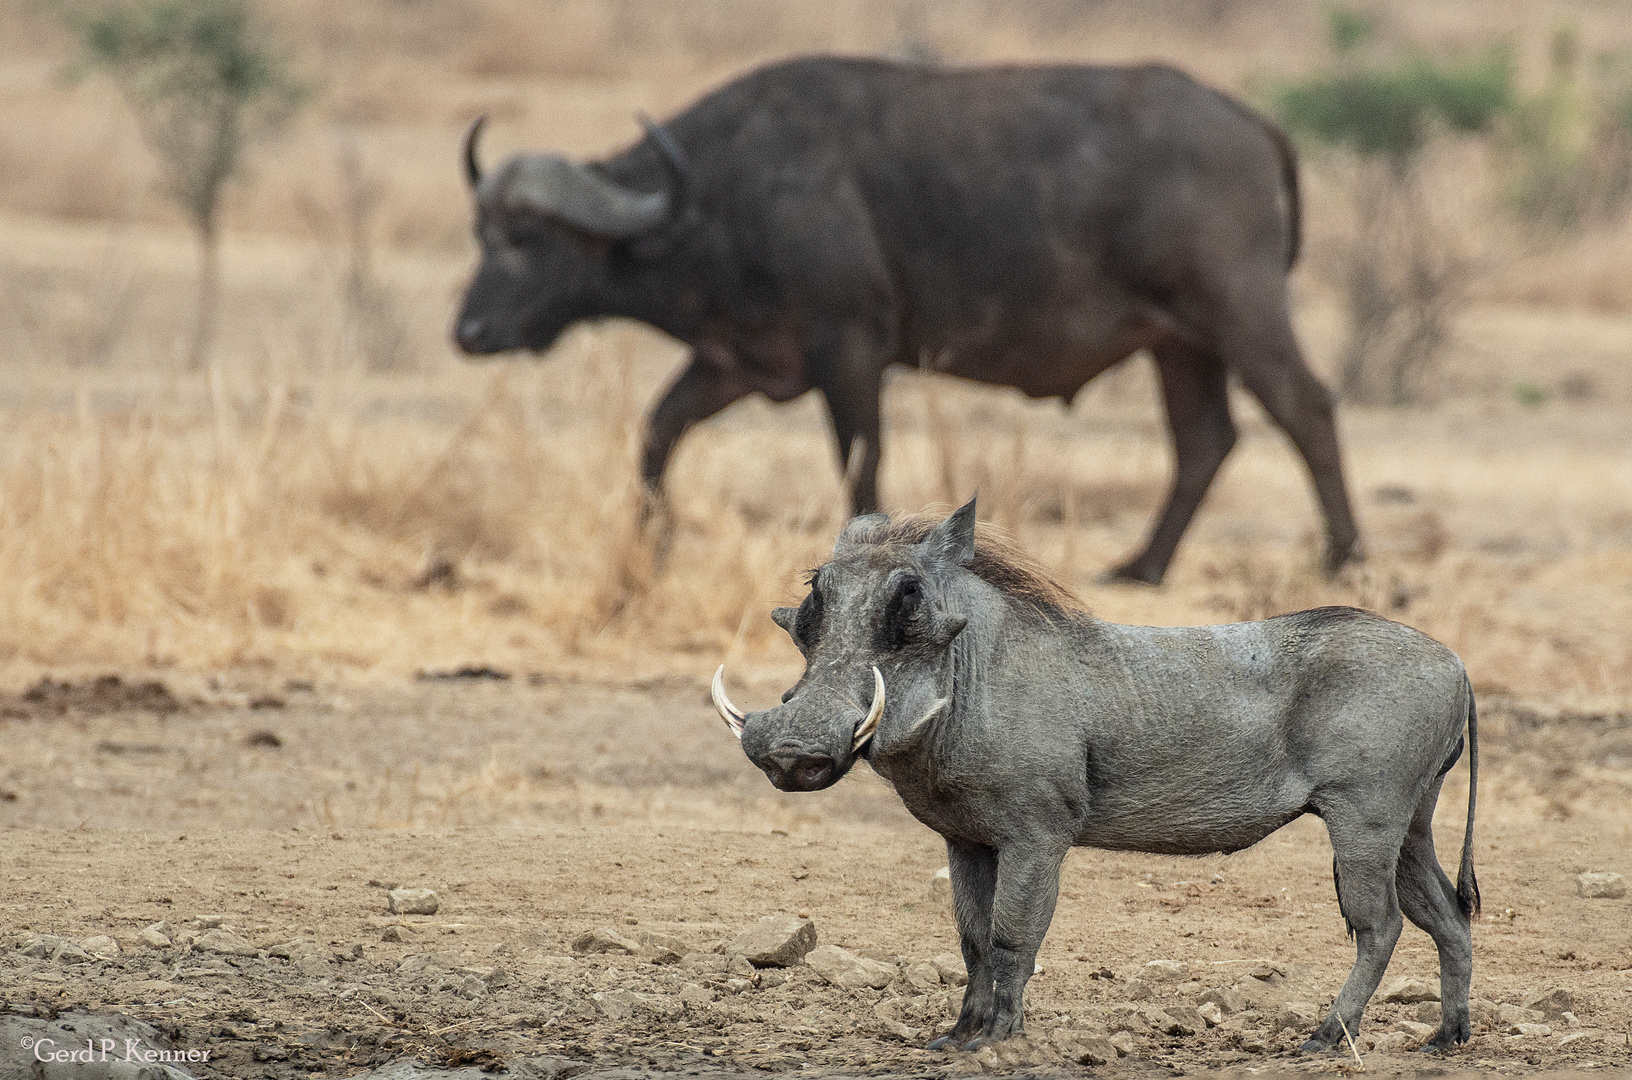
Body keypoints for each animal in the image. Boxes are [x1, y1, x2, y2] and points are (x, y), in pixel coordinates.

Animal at [453, 55, 1357, 584]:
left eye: (527, 240)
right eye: (480, 234)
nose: (467, 334)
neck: (720, 194)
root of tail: (1250, 122)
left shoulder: (849, 350)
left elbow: (862, 463)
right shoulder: (735, 360)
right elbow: (656, 432)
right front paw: (652, 547)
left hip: (1239, 313)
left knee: (1305, 407)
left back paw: (1342, 556)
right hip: (1179, 344)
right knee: (1207, 440)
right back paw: (1142, 565)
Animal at [714, 499, 1481, 1057]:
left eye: (908, 598)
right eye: (812, 599)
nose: (791, 754)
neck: (972, 680)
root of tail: (1457, 663)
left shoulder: (1037, 833)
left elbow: (1012, 935)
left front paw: (995, 1041)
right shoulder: (966, 840)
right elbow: (971, 939)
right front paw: (955, 1037)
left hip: (1366, 816)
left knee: (1380, 926)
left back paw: (1323, 1040)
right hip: (1412, 822)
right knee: (1446, 916)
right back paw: (1445, 1041)